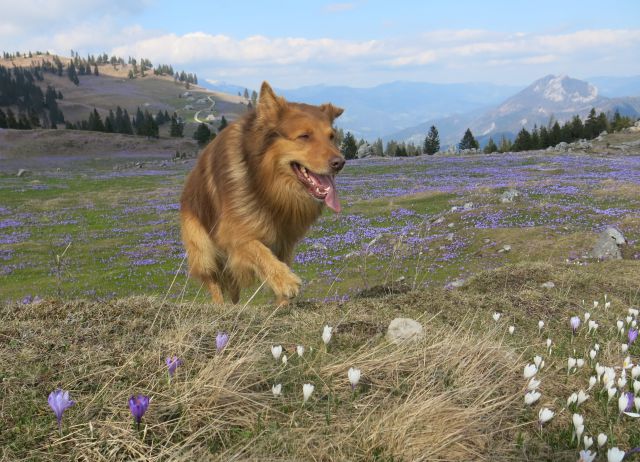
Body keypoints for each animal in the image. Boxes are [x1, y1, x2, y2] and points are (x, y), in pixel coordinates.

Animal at [178, 81, 348, 304]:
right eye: (304, 136)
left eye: (331, 137)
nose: (340, 162)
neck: (266, 185)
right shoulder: (233, 234)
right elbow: (259, 250)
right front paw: (285, 281)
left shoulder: (285, 241)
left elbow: (277, 259)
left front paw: (283, 304)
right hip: (203, 249)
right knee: (213, 281)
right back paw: (221, 307)